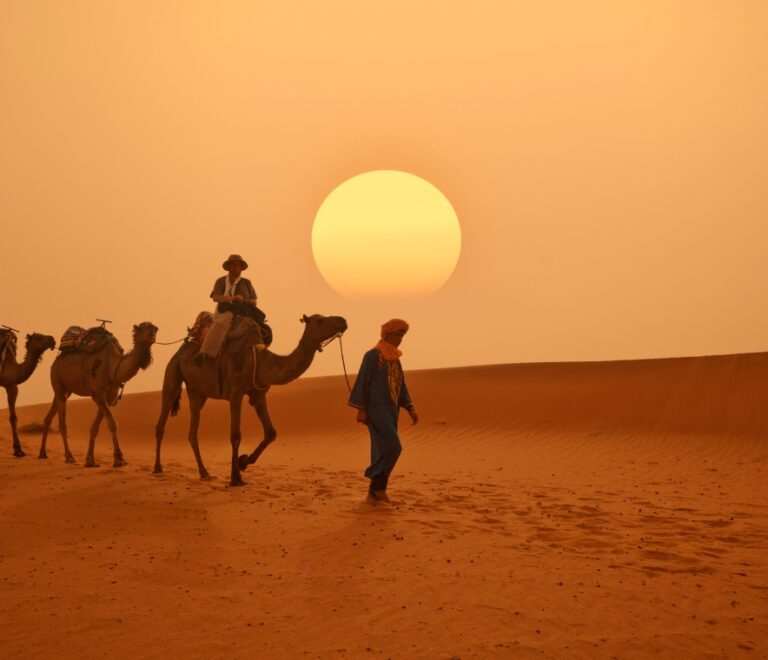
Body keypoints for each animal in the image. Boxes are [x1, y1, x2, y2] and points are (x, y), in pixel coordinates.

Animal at [40, 322, 159, 466]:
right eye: (143, 329)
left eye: (155, 329)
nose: (151, 335)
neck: (113, 367)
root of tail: (56, 362)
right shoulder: (98, 393)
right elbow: (112, 423)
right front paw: (118, 458)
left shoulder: (110, 395)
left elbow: (95, 427)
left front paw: (90, 460)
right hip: (57, 380)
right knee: (62, 424)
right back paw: (69, 457)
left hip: (64, 390)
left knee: (49, 416)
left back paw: (42, 453)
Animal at [154, 312, 346, 488]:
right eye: (320, 320)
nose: (342, 320)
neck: (261, 361)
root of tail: (181, 350)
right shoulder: (235, 393)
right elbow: (235, 435)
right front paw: (235, 478)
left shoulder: (258, 395)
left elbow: (271, 432)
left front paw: (243, 461)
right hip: (172, 374)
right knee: (162, 420)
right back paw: (158, 468)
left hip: (197, 393)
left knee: (193, 431)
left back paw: (204, 473)